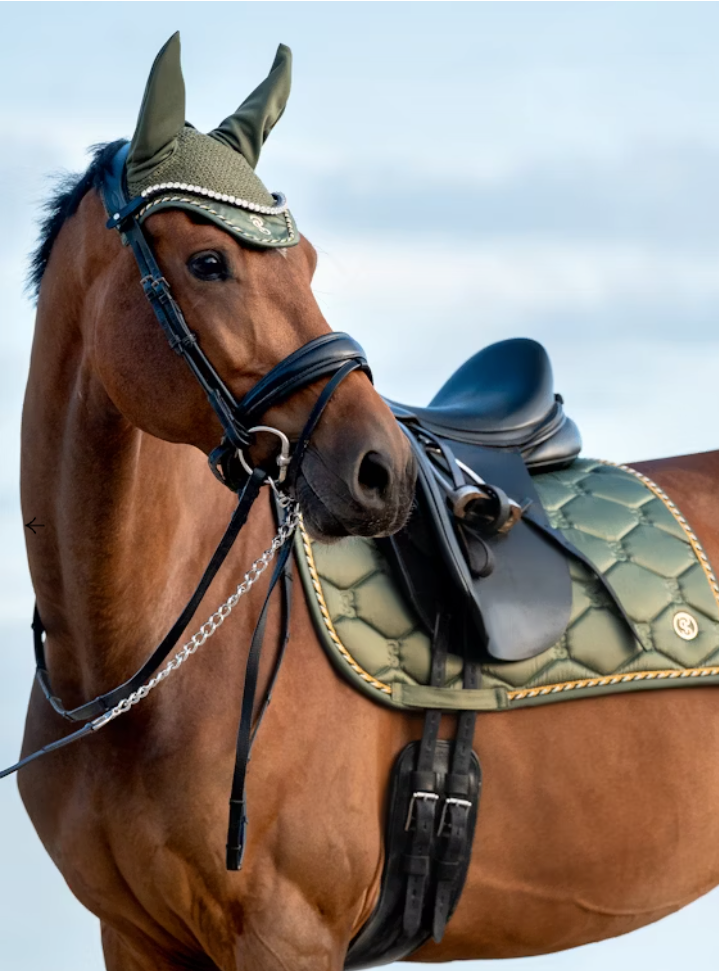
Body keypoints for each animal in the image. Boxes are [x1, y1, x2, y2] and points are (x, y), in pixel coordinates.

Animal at [16, 30, 719, 971]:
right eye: (208, 261)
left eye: (308, 261)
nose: (380, 470)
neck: (137, 668)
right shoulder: (133, 939)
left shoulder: (286, 933)